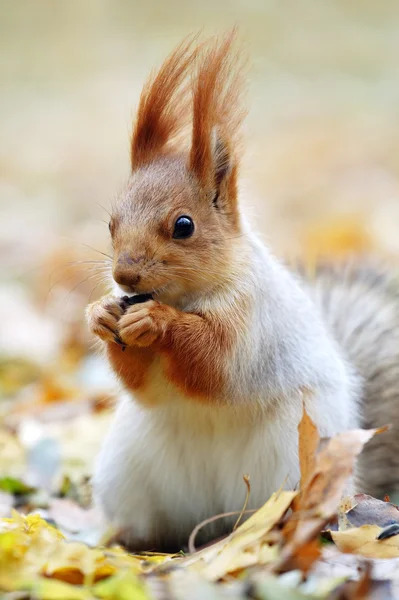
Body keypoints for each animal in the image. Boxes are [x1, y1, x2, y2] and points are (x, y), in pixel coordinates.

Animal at [86, 31, 399, 548]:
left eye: (184, 226)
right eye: (111, 224)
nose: (125, 277)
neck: (186, 296)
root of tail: (215, 518)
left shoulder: (252, 318)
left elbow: (214, 360)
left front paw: (157, 321)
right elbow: (141, 382)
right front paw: (100, 313)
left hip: (292, 458)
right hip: (128, 470)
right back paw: (129, 540)